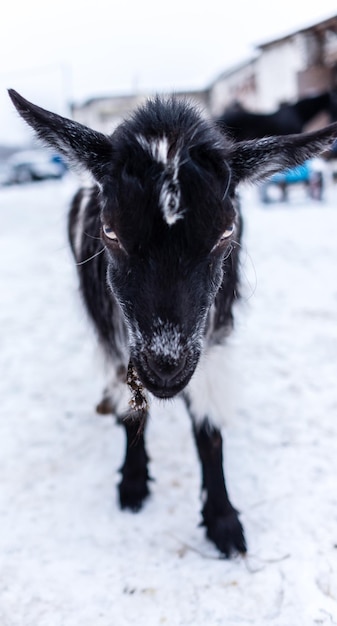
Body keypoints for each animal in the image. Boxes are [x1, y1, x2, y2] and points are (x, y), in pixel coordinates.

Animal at [9, 89, 336, 556]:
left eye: (225, 233)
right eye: (110, 231)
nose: (166, 366)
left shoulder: (212, 337)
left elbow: (209, 427)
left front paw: (222, 520)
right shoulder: (116, 337)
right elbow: (131, 411)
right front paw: (132, 482)